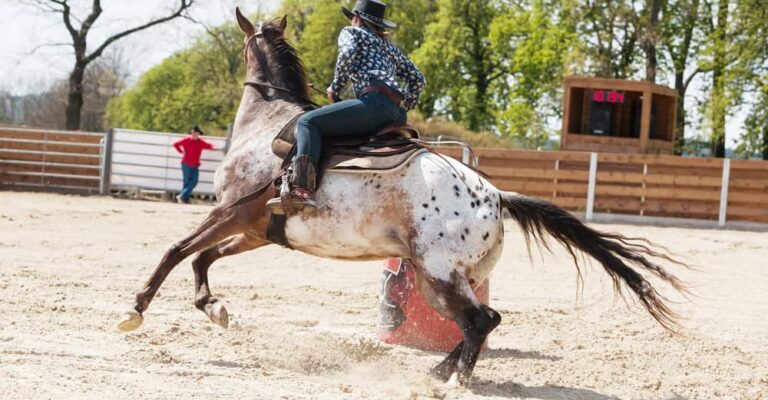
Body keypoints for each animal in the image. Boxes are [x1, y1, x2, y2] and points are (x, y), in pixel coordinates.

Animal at [117, 10, 687, 386]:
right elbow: (203, 259)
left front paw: (135, 310)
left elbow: (175, 252)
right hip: (448, 277)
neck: (267, 127)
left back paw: (449, 381)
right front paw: (213, 308)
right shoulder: (257, 230)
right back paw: (440, 371)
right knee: (484, 320)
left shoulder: (230, 213)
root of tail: (496, 196)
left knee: (481, 321)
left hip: (437, 274)